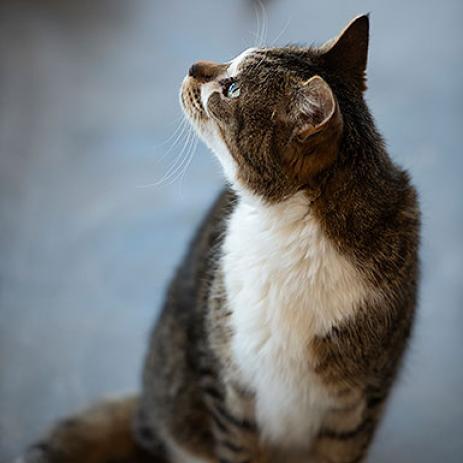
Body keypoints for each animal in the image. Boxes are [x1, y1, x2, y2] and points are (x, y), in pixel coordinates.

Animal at [20, 13, 422, 463]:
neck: (287, 230)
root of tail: (143, 409)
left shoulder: (358, 402)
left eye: (232, 90)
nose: (194, 65)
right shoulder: (229, 384)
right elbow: (237, 445)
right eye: (232, 60)